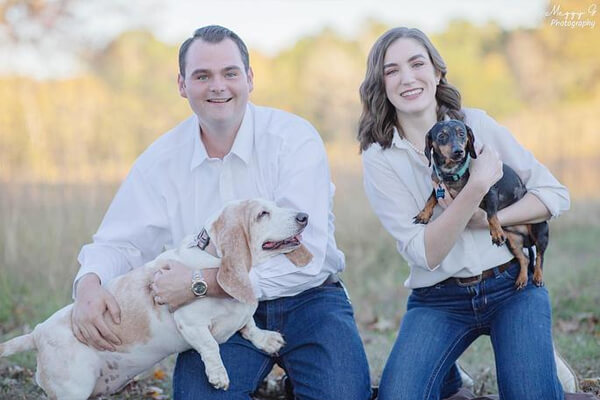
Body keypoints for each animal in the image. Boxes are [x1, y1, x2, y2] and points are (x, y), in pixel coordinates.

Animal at [0, 200, 310, 400]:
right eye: (262, 214)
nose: (304, 216)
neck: (212, 258)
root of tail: (38, 333)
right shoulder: (190, 324)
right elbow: (211, 346)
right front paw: (218, 375)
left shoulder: (240, 316)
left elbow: (249, 325)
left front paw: (266, 339)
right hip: (73, 390)